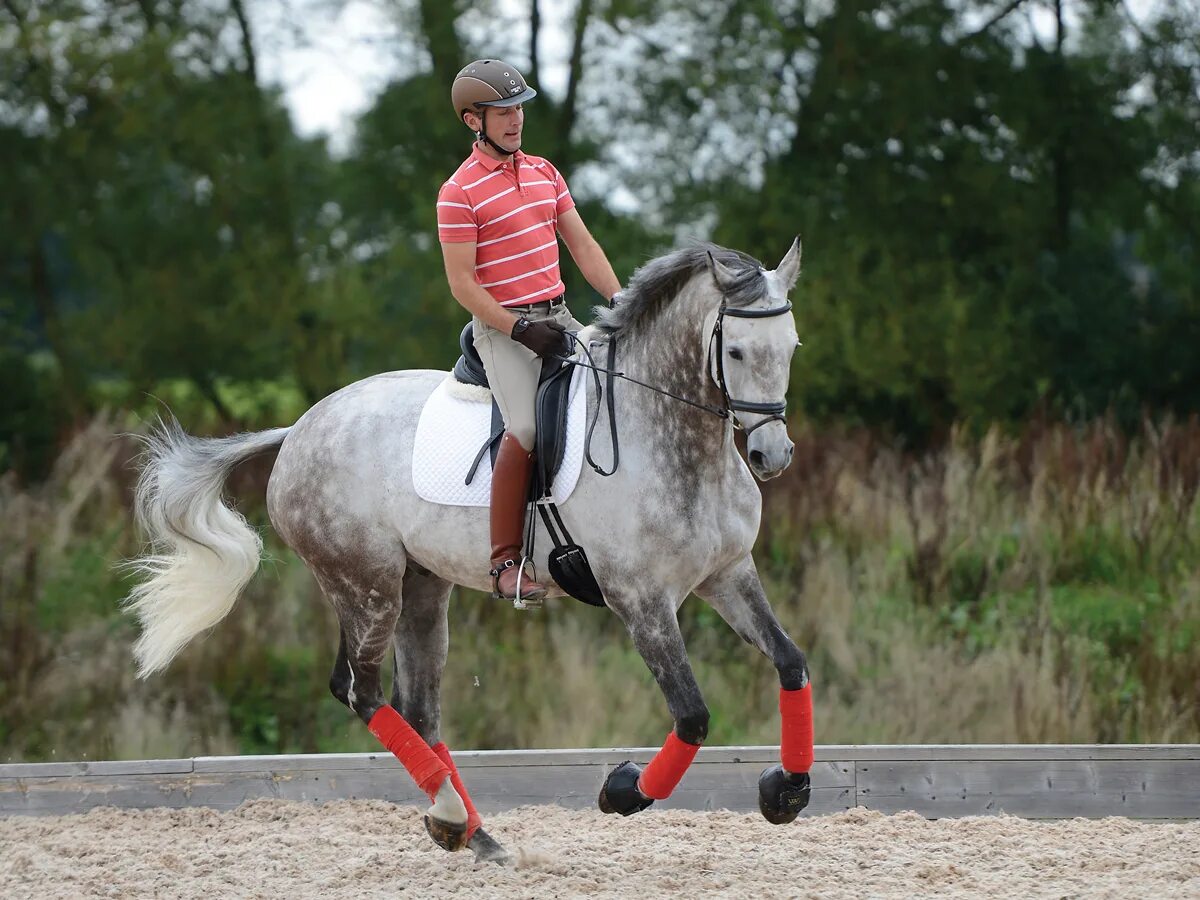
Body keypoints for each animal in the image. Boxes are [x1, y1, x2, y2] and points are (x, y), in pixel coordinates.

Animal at [124, 240, 816, 868]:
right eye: (735, 351)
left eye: (791, 348)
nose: (772, 456)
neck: (671, 436)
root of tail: (299, 429)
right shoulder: (640, 599)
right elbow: (693, 715)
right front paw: (622, 790)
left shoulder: (727, 575)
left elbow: (791, 662)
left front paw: (785, 792)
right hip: (366, 585)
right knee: (361, 691)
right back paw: (454, 818)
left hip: (422, 587)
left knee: (418, 709)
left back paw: (474, 833)